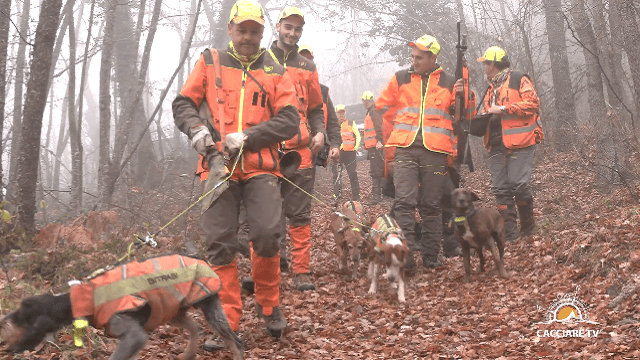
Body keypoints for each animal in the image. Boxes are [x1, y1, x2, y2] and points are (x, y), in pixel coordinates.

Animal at [0, 253, 244, 360]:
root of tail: (202, 259)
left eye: (19, 317)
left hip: (212, 310)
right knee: (195, 328)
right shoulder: (132, 340)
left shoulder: (133, 335)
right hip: (172, 310)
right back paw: (187, 354)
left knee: (235, 341)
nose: (3, 322)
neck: (83, 299)